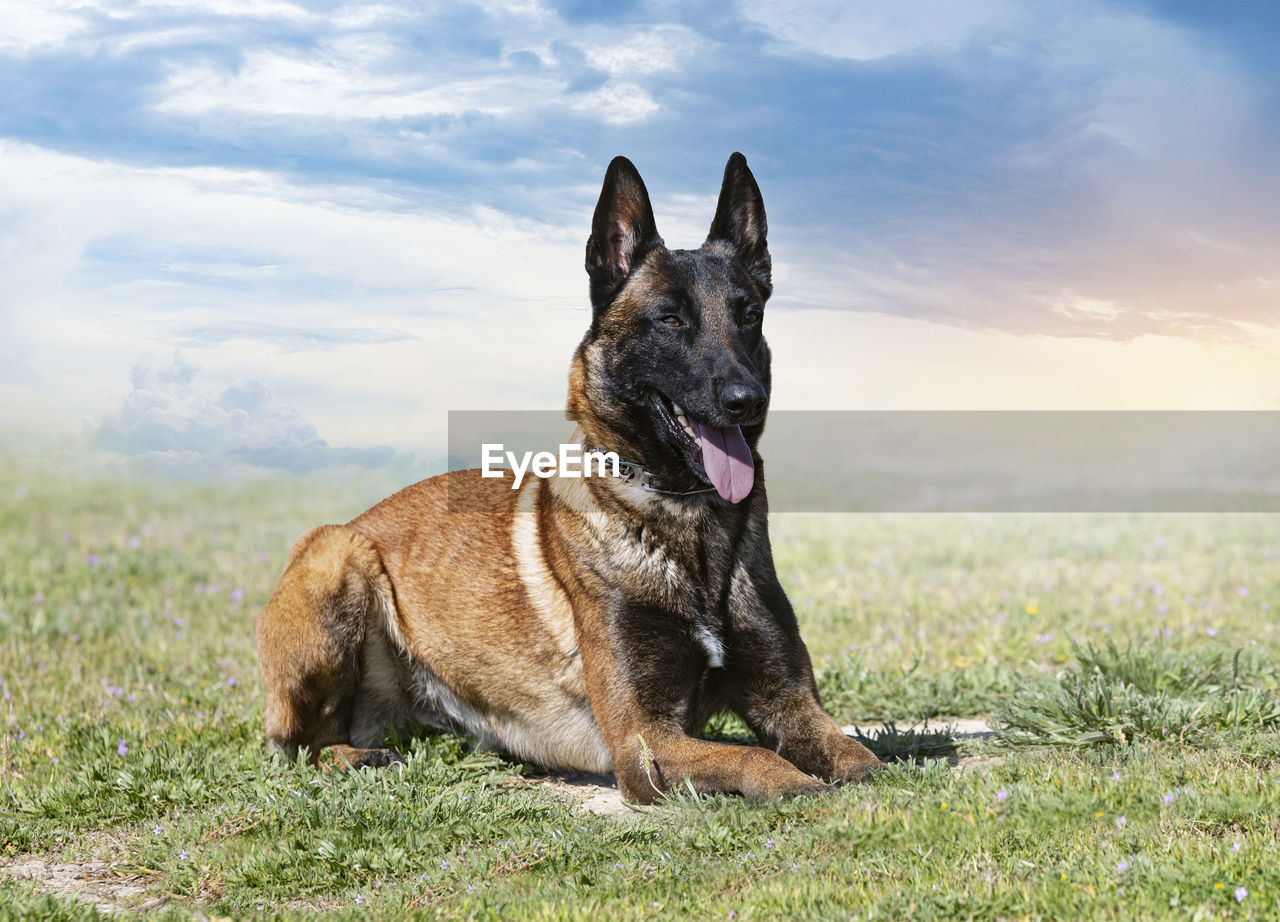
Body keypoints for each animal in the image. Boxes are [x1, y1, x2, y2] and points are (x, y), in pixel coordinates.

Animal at [254, 151, 885, 799]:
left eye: (750, 316)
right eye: (671, 320)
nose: (746, 399)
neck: (684, 517)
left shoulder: (791, 704)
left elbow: (865, 762)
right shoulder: (645, 741)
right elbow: (758, 760)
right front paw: (802, 786)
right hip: (336, 555)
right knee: (301, 745)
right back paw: (360, 757)